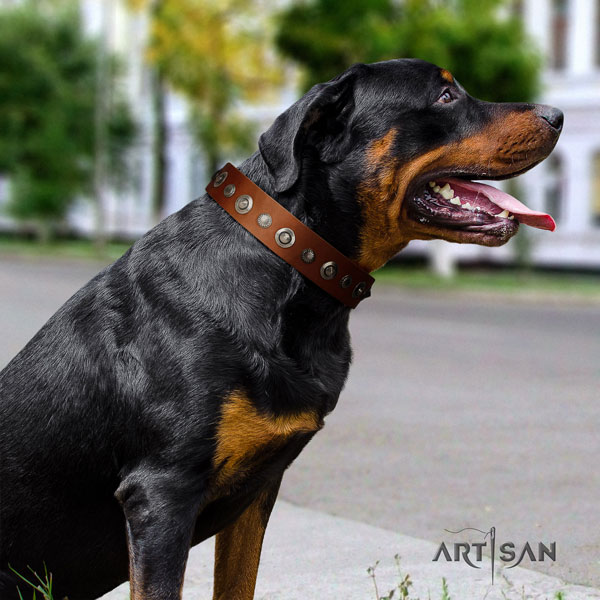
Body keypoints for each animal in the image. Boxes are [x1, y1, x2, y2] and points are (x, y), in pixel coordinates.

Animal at [1, 57, 564, 600]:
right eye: (446, 95)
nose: (557, 114)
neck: (291, 261)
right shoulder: (161, 490)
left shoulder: (256, 490)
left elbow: (238, 586)